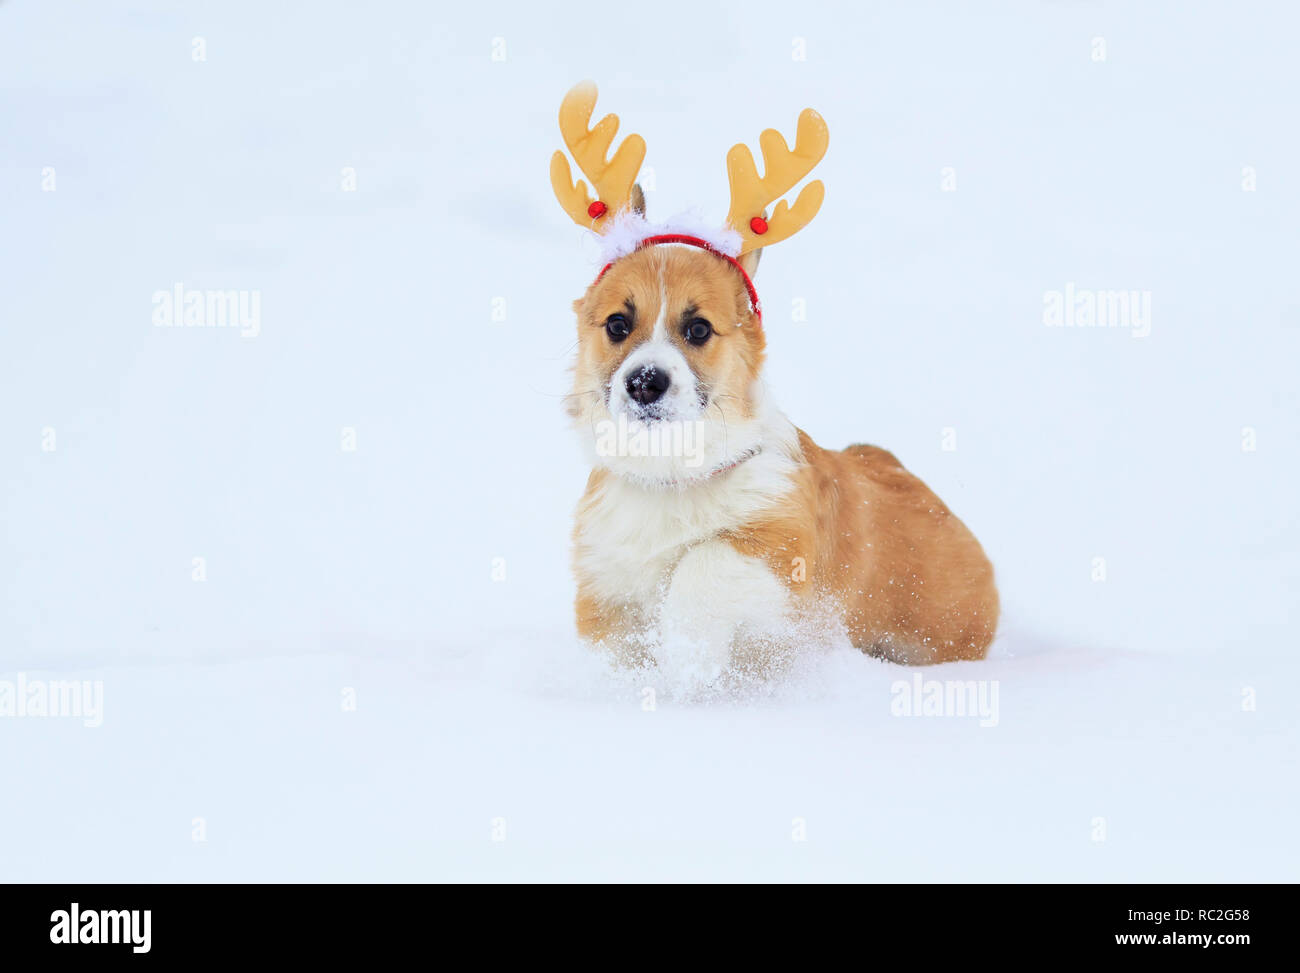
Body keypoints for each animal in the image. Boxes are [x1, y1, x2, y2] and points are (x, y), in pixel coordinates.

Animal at [548, 81, 993, 681]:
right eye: (618, 323)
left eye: (698, 328)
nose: (644, 383)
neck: (672, 476)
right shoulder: (605, 589)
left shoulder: (780, 553)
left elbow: (703, 562)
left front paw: (688, 660)